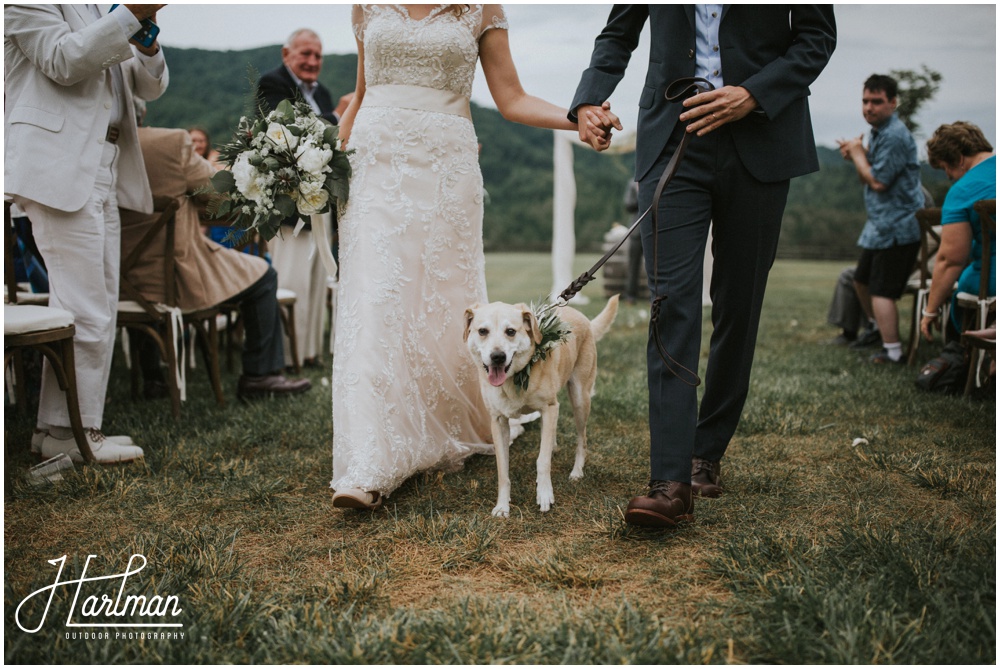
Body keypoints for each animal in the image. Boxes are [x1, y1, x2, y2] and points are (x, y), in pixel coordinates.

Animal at [466, 294, 616, 520]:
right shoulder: (498, 421)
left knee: (582, 439)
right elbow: (503, 469)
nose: (498, 357)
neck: (515, 378)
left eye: (511, 331)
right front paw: (502, 505)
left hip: (580, 399)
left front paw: (544, 494)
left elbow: (542, 461)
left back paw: (577, 471)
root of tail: (584, 318)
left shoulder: (549, 407)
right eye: (482, 331)